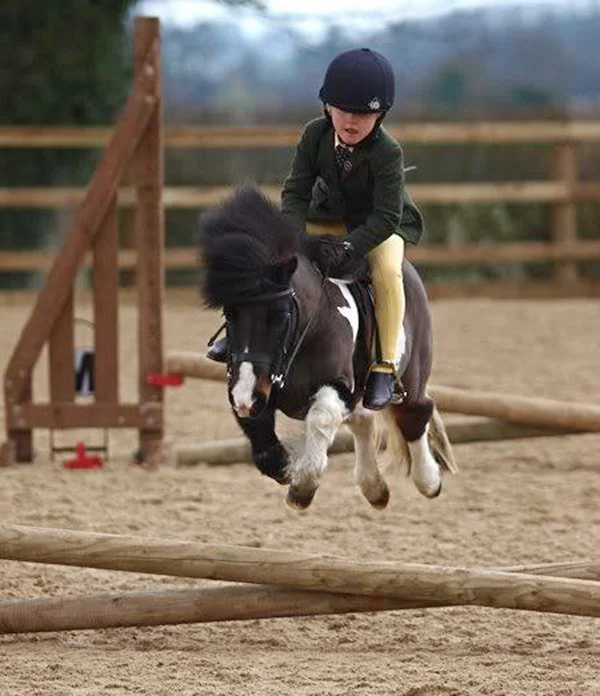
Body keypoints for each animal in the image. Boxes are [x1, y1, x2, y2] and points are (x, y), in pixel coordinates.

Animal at [197, 184, 456, 510]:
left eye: (279, 315)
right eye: (228, 313)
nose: (246, 398)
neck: (306, 332)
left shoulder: (338, 384)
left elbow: (322, 416)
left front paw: (302, 487)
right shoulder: (253, 383)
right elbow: (261, 437)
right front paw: (285, 467)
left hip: (412, 372)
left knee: (415, 412)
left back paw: (429, 480)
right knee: (363, 419)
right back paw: (374, 488)